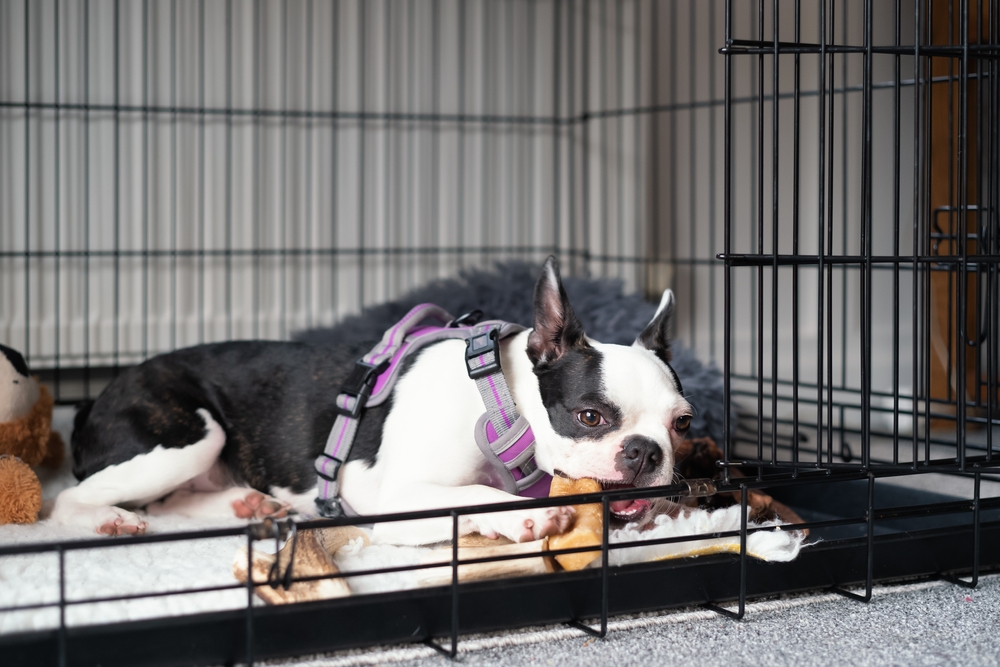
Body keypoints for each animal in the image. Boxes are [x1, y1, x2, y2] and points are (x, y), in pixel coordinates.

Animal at [50, 258, 692, 544]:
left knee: (170, 502)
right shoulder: (389, 495)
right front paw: (525, 513)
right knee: (71, 500)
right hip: (189, 434)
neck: (499, 401)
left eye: (682, 425)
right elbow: (472, 497)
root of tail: (91, 402)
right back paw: (109, 517)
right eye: (590, 417)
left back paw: (247, 505)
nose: (644, 452)